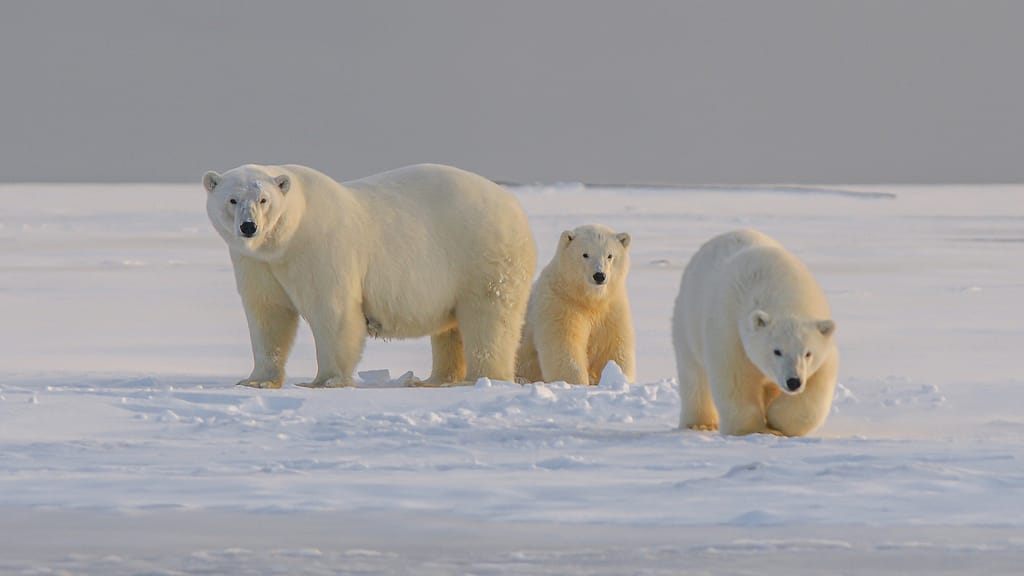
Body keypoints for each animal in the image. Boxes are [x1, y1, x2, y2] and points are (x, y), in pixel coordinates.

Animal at [203, 163, 537, 389]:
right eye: (232, 199)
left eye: (264, 200)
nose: (249, 227)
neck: (287, 238)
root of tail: (514, 205)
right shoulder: (257, 263)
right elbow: (268, 314)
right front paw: (256, 380)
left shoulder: (321, 249)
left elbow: (333, 312)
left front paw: (325, 381)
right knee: (450, 328)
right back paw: (435, 379)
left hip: (482, 255)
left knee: (488, 318)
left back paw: (481, 378)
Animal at [515, 224, 635, 385]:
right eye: (585, 254)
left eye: (610, 255)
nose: (599, 275)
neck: (588, 299)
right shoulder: (561, 303)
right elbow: (564, 346)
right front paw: (578, 382)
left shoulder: (612, 308)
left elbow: (613, 346)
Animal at [671, 228, 838, 436]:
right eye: (777, 351)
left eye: (808, 353)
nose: (793, 382)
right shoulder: (730, 330)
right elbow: (736, 379)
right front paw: (753, 429)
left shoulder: (823, 347)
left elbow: (817, 386)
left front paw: (777, 421)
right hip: (687, 322)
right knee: (693, 375)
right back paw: (700, 423)